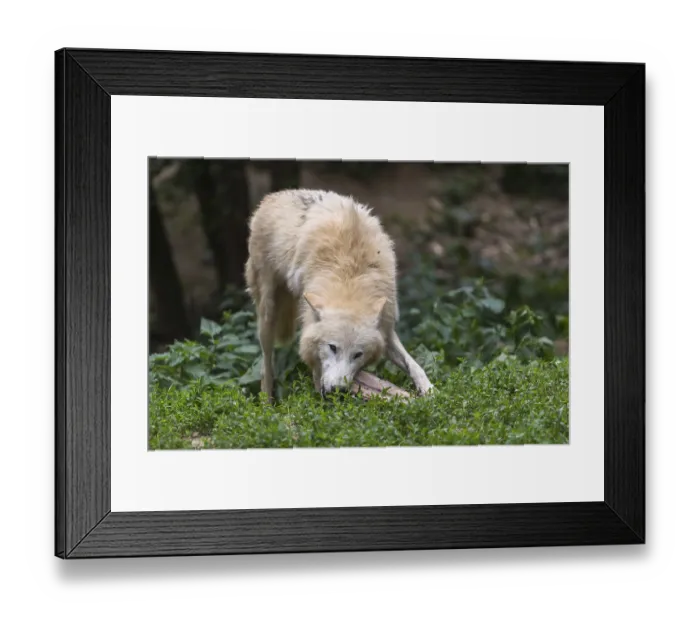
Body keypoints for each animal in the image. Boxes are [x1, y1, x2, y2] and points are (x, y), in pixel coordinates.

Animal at [244, 189, 434, 400]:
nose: (337, 390)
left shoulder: (385, 328)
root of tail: (272, 196)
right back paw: (266, 402)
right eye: (333, 347)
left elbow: (414, 365)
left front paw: (429, 391)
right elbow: (316, 371)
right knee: (265, 366)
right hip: (268, 313)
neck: (350, 278)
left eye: (358, 354)